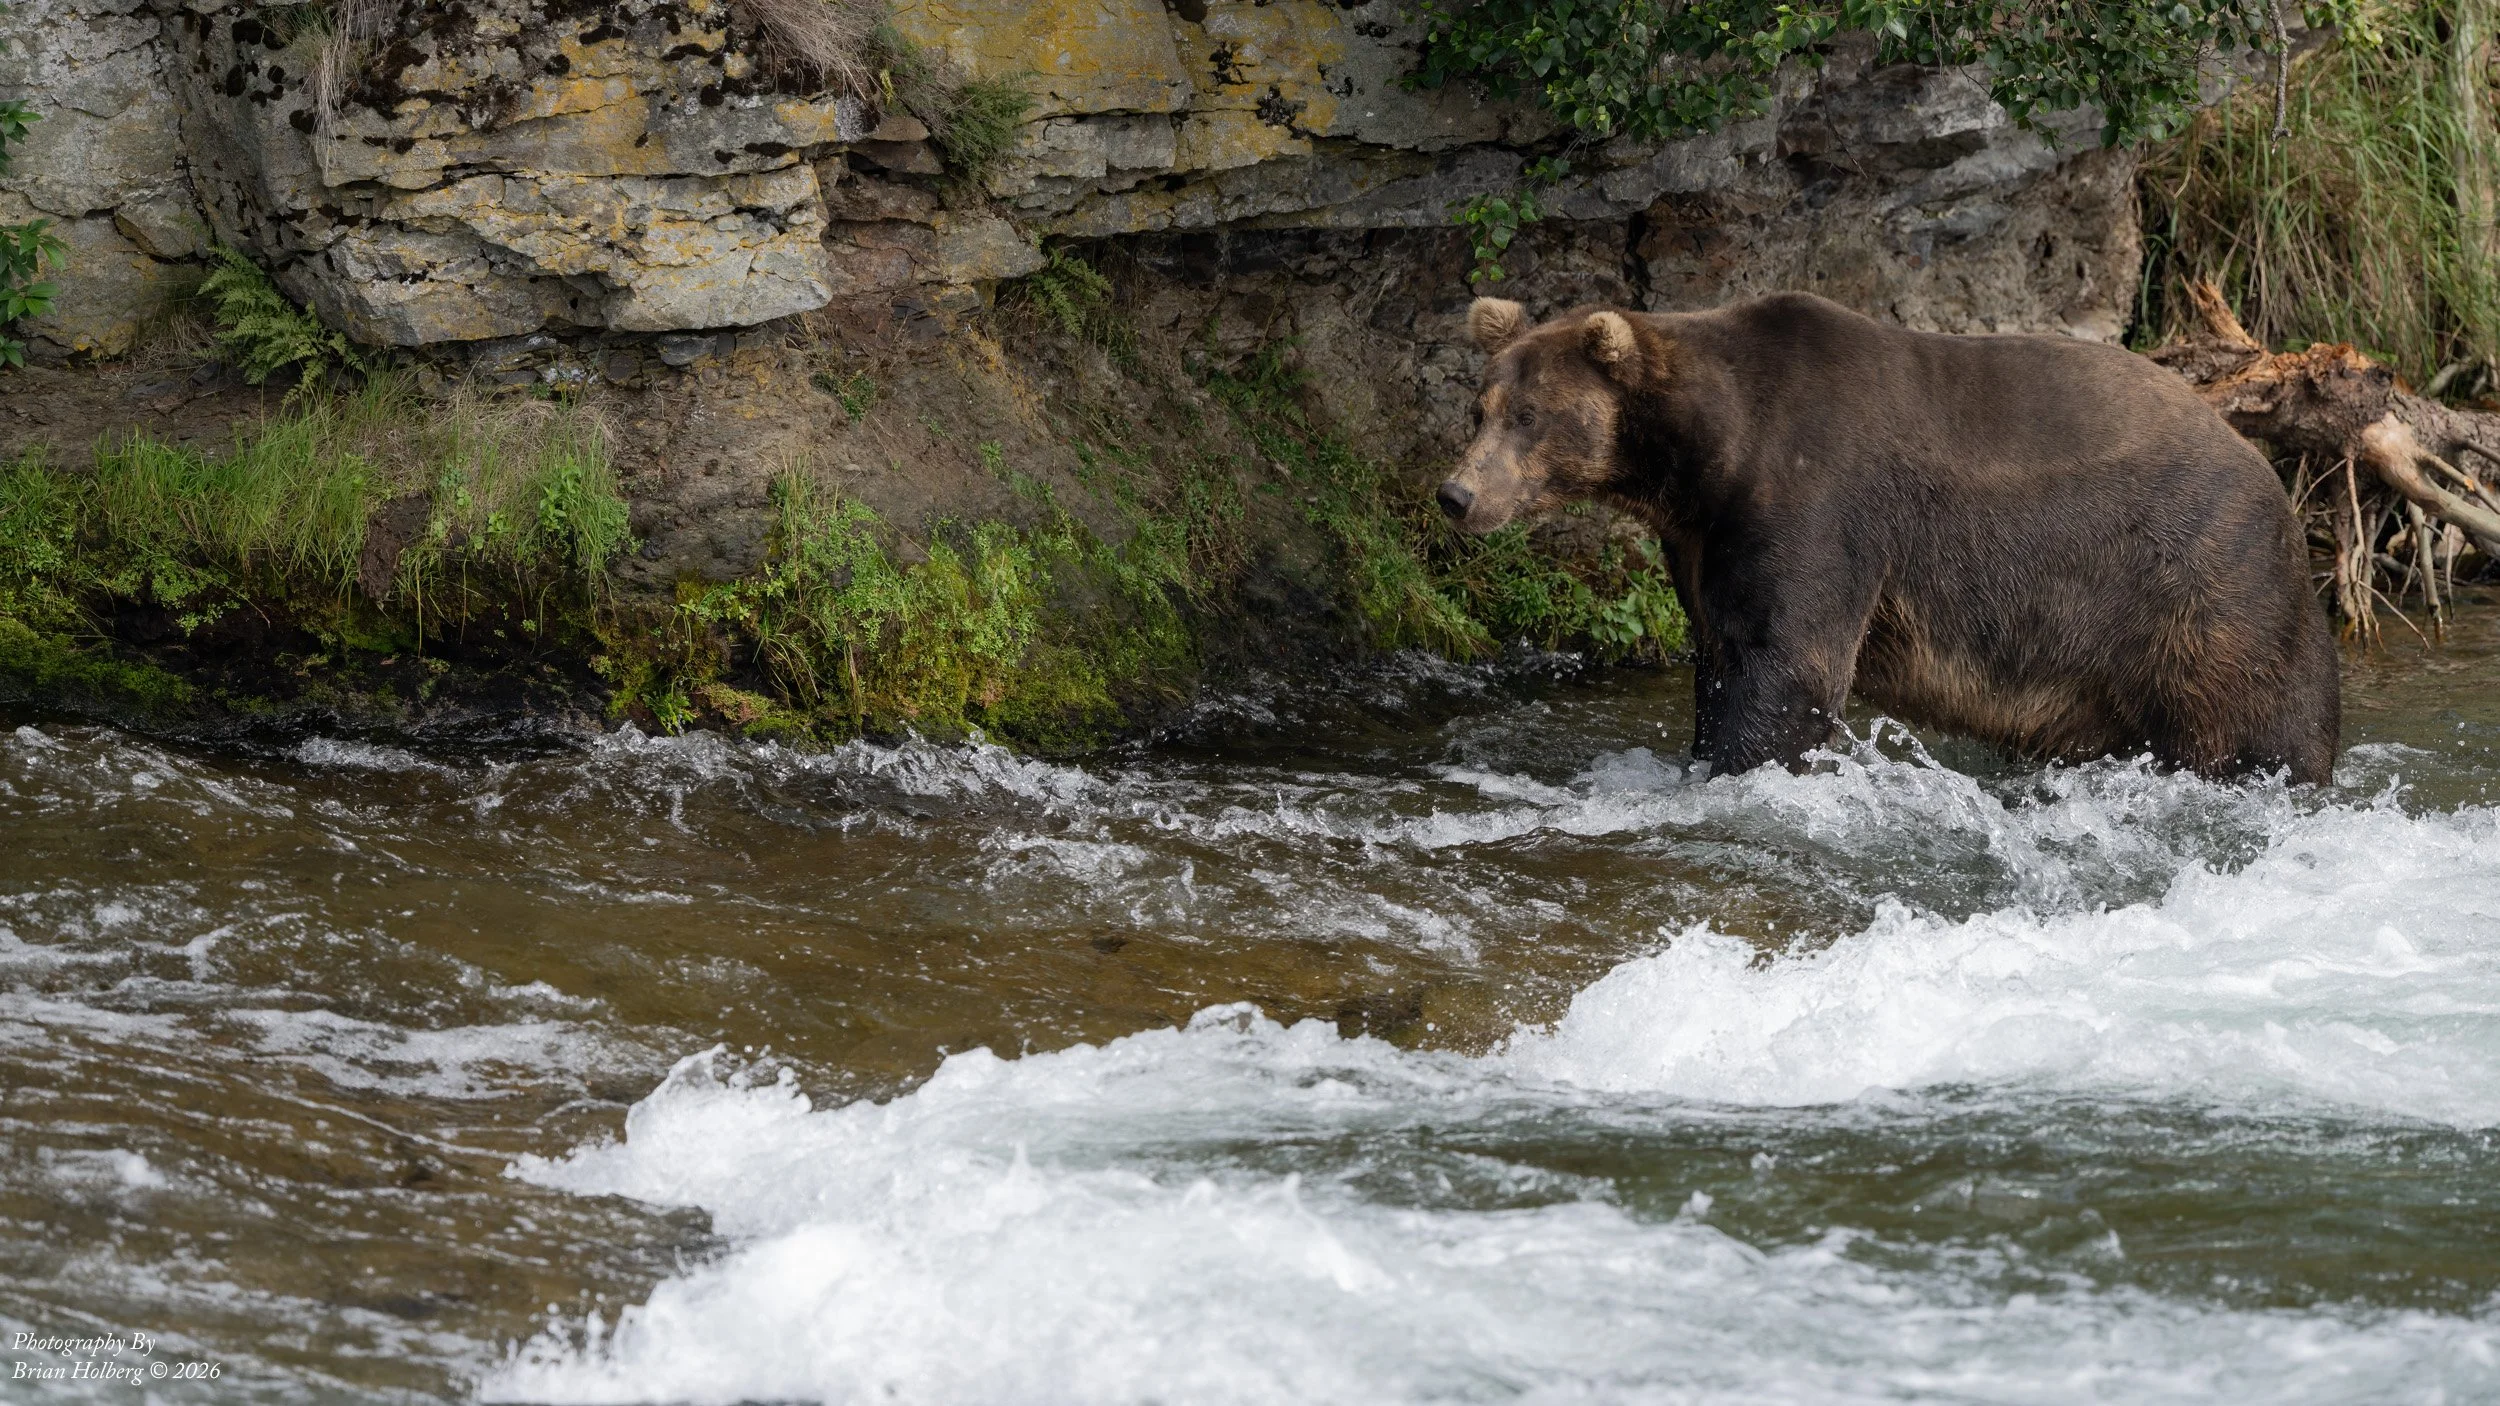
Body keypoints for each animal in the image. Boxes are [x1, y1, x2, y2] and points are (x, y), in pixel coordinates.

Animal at [1439, 291, 2341, 784]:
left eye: (1531, 416)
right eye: (1480, 409)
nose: (1457, 494)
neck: (1716, 452)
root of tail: (2279, 491)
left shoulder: (1819, 499)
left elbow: (1788, 668)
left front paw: (1737, 764)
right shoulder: (1704, 538)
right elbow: (1723, 653)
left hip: (2202, 589)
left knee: (2254, 727)